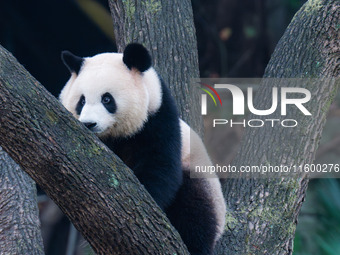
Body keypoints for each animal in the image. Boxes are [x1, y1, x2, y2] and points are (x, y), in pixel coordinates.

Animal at [60, 42, 226, 254]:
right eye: (81, 101)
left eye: (107, 99)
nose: (89, 124)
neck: (117, 134)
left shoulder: (159, 120)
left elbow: (160, 166)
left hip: (202, 180)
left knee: (195, 211)